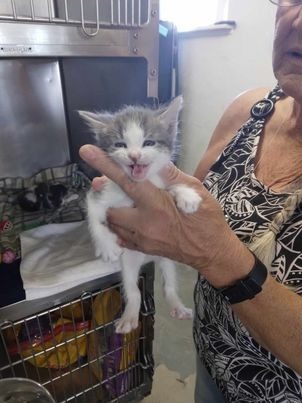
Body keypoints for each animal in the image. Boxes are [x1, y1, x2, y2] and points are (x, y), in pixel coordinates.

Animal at [78, 97, 201, 334]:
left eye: (148, 142)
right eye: (120, 145)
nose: (134, 155)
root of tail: (149, 258)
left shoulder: (158, 184)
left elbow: (169, 189)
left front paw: (186, 194)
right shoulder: (102, 191)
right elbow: (93, 212)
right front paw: (106, 246)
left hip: (168, 256)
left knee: (168, 284)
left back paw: (177, 305)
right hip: (129, 260)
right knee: (133, 290)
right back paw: (129, 316)